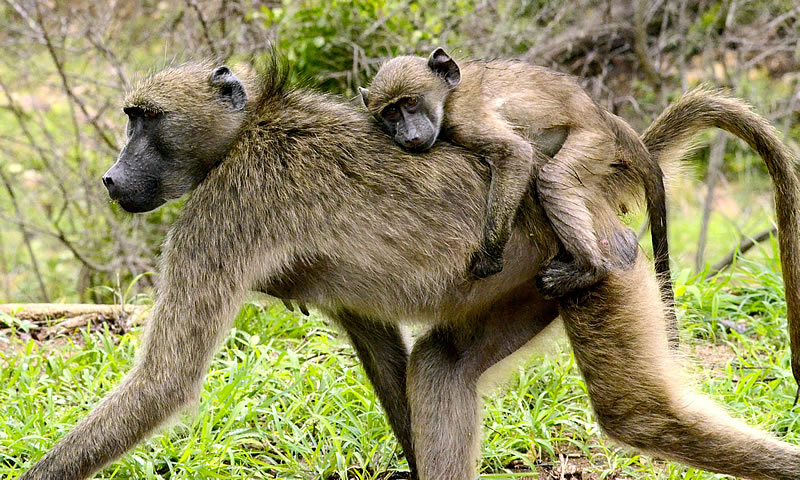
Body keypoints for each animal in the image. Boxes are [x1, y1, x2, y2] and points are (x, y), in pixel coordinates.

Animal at [358, 48, 672, 310]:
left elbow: (515, 154)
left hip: (594, 140)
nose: (410, 135)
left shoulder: (463, 118)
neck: (448, 96)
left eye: (411, 102)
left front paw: (489, 256)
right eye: (391, 112)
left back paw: (591, 268)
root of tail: (601, 115)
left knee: (553, 180)